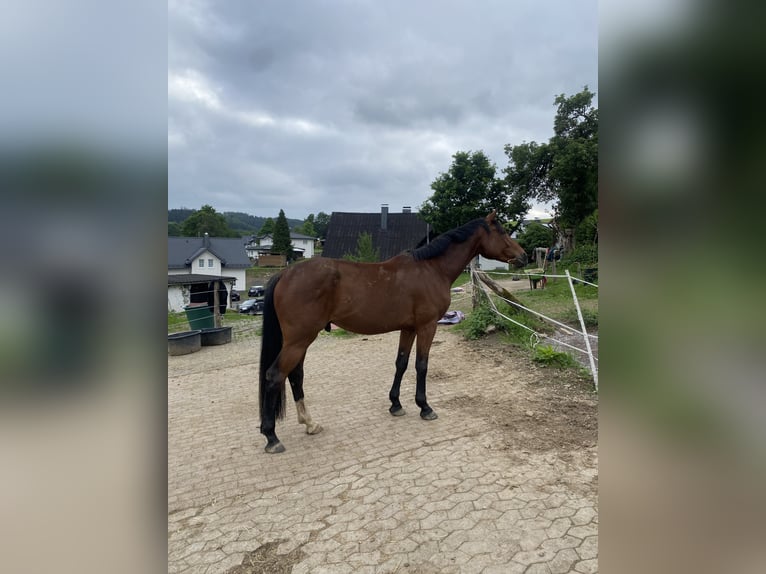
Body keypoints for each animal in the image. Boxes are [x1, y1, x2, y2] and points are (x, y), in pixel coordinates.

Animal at [258, 212, 528, 454]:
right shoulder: (427, 326)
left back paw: (310, 423)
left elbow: (401, 363)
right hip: (299, 340)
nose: (523, 256)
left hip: (300, 341)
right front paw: (425, 407)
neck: (432, 269)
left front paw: (396, 404)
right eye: (502, 231)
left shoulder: (408, 329)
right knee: (275, 376)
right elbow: (421, 365)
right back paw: (271, 437)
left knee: (295, 376)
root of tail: (284, 273)